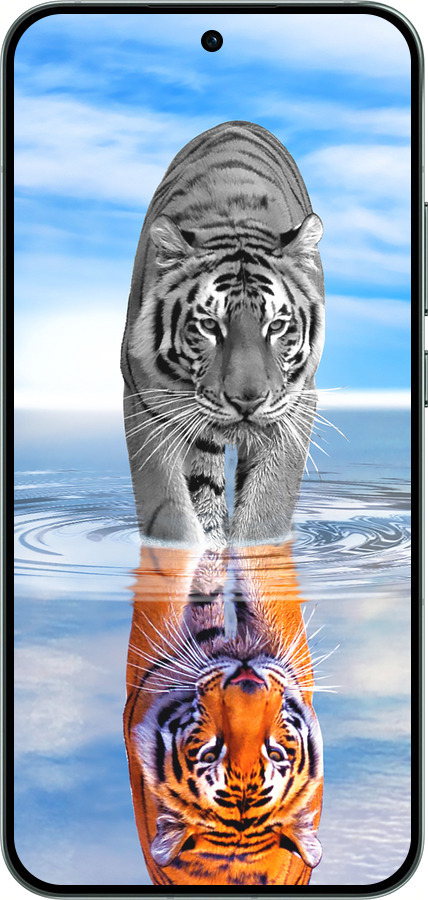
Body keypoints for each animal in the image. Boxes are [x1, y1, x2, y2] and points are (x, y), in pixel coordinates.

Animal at [121, 121, 325, 548]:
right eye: (210, 326)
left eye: (276, 326)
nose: (247, 401)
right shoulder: (145, 401)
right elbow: (169, 511)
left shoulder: (296, 404)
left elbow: (267, 509)